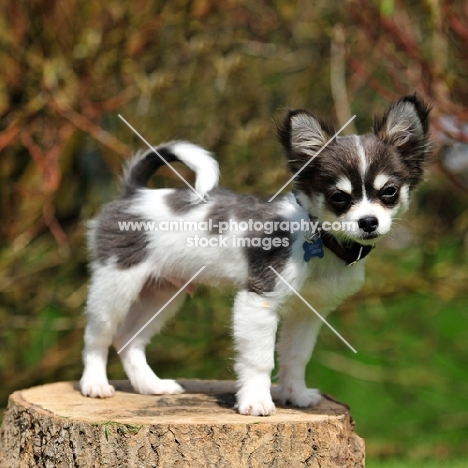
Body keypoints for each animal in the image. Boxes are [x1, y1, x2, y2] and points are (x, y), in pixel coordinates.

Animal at [79, 93, 432, 414]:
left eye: (389, 192)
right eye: (338, 197)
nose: (368, 222)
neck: (319, 236)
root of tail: (134, 193)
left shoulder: (309, 312)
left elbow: (295, 356)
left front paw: (295, 395)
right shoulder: (259, 300)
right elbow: (259, 359)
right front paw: (256, 402)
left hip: (162, 292)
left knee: (128, 339)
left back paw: (150, 385)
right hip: (116, 284)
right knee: (98, 334)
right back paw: (94, 384)